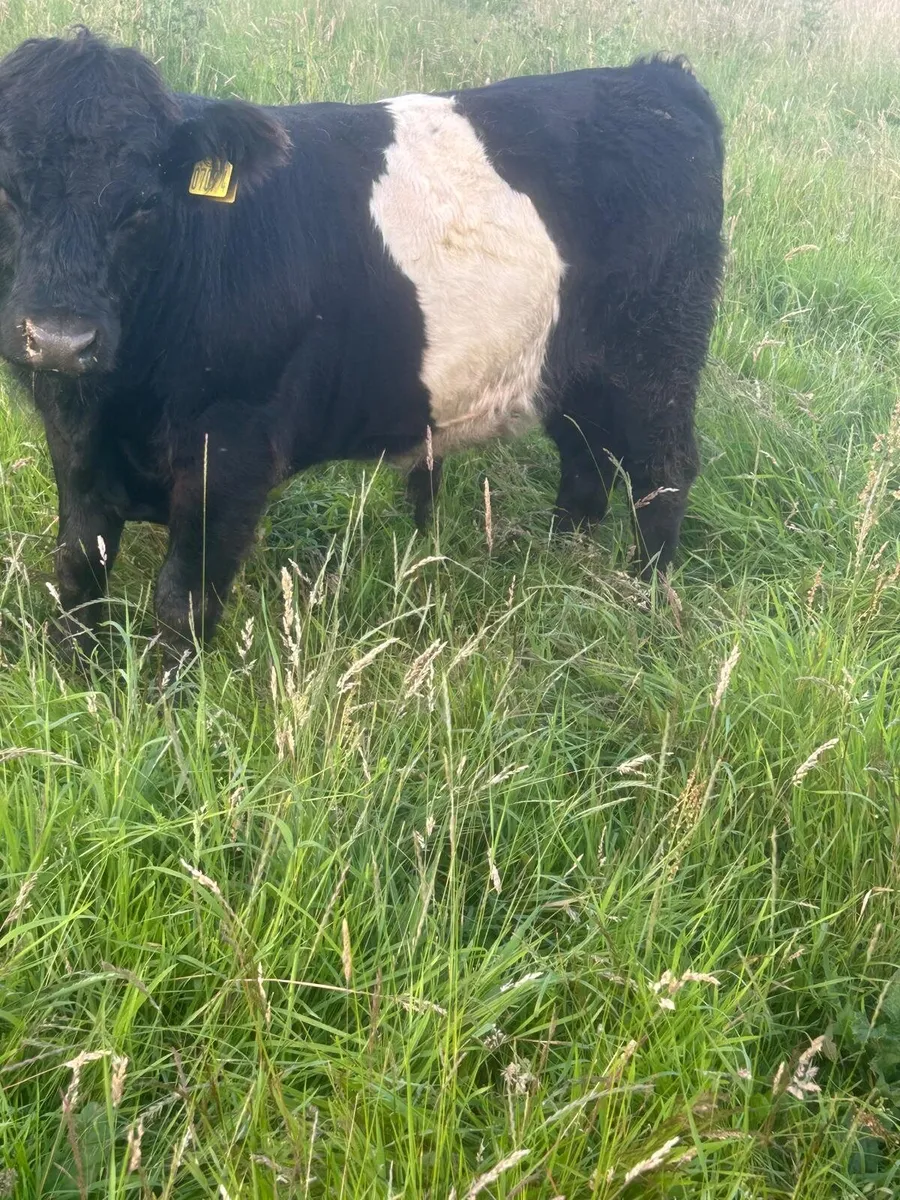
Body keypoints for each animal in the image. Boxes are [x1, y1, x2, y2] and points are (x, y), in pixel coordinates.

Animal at [0, 29, 724, 667]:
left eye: (144, 204)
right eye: (5, 190)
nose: (60, 339)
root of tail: (657, 79)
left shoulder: (232, 447)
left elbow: (184, 600)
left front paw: (167, 710)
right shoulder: (75, 442)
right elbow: (77, 571)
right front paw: (78, 677)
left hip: (656, 360)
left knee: (661, 473)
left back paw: (644, 600)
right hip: (572, 374)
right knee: (586, 466)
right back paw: (559, 574)